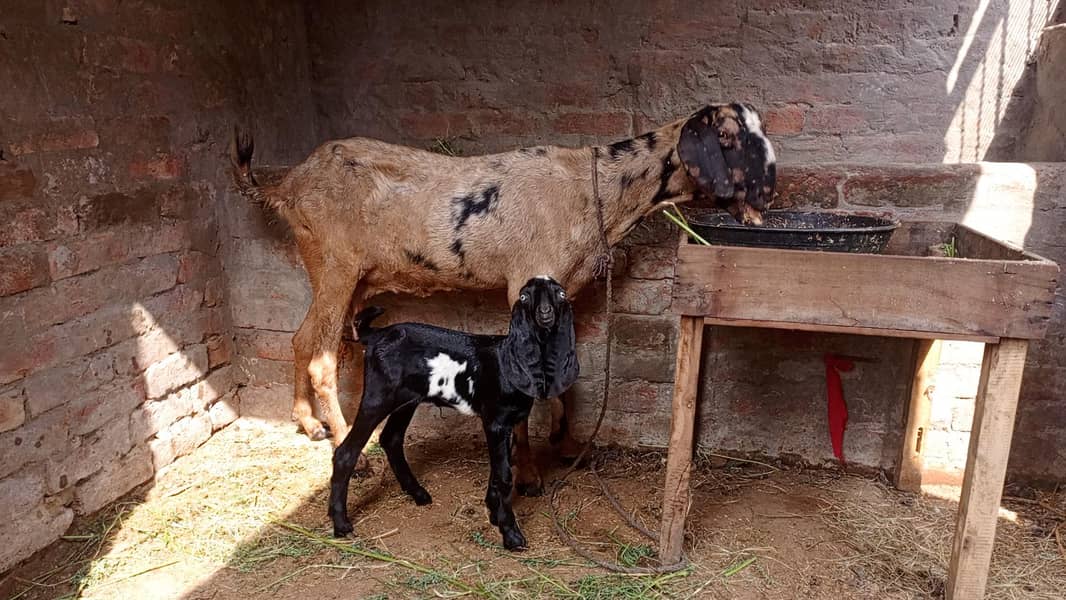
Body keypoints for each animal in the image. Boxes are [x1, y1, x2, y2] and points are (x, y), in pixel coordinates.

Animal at [232, 103, 777, 494]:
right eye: (729, 138)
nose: (768, 196)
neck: (596, 193)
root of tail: (287, 185)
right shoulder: (524, 282)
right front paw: (529, 475)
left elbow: (562, 374)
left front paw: (565, 444)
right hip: (334, 261)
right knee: (321, 355)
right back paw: (351, 451)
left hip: (350, 273)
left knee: (305, 340)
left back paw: (308, 423)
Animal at [329, 276, 577, 550]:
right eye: (524, 296)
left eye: (561, 294)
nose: (545, 313)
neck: (507, 359)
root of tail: (377, 335)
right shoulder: (495, 421)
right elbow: (503, 475)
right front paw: (511, 534)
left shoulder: (508, 422)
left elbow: (497, 471)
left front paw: (493, 511)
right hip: (378, 394)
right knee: (346, 451)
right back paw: (341, 523)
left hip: (407, 399)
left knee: (391, 438)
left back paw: (417, 493)